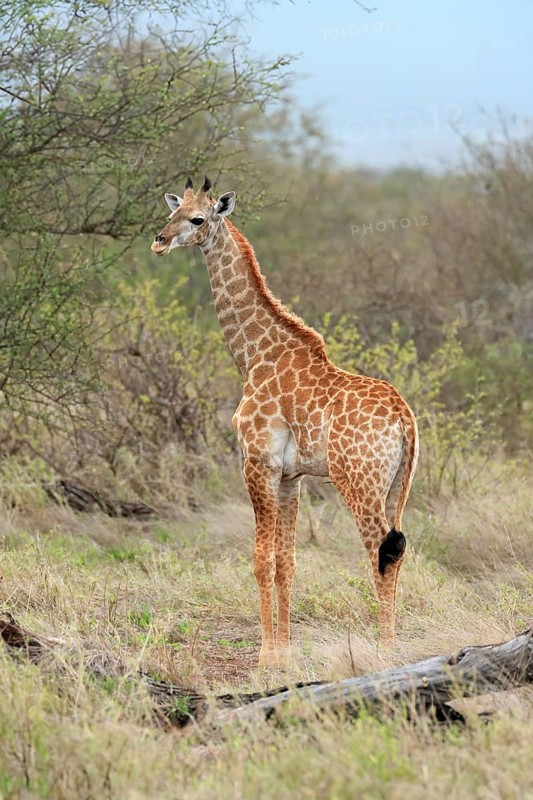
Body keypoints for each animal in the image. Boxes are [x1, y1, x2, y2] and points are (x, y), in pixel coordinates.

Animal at [151, 176, 419, 667]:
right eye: (172, 211)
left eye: (197, 219)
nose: (159, 242)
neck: (254, 356)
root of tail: (404, 419)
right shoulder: (292, 476)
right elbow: (286, 562)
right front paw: (286, 651)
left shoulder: (256, 463)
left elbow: (260, 558)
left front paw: (263, 658)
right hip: (398, 486)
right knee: (398, 547)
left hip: (358, 481)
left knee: (382, 549)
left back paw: (386, 653)